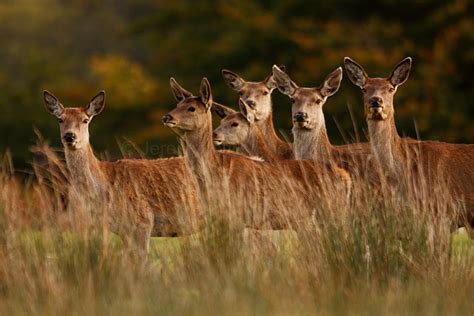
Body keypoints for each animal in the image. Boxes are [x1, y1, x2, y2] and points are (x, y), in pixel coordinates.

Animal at [163, 76, 352, 230]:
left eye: (192, 108)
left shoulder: (239, 214)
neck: (215, 170)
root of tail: (345, 177)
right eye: (177, 105)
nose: (167, 117)